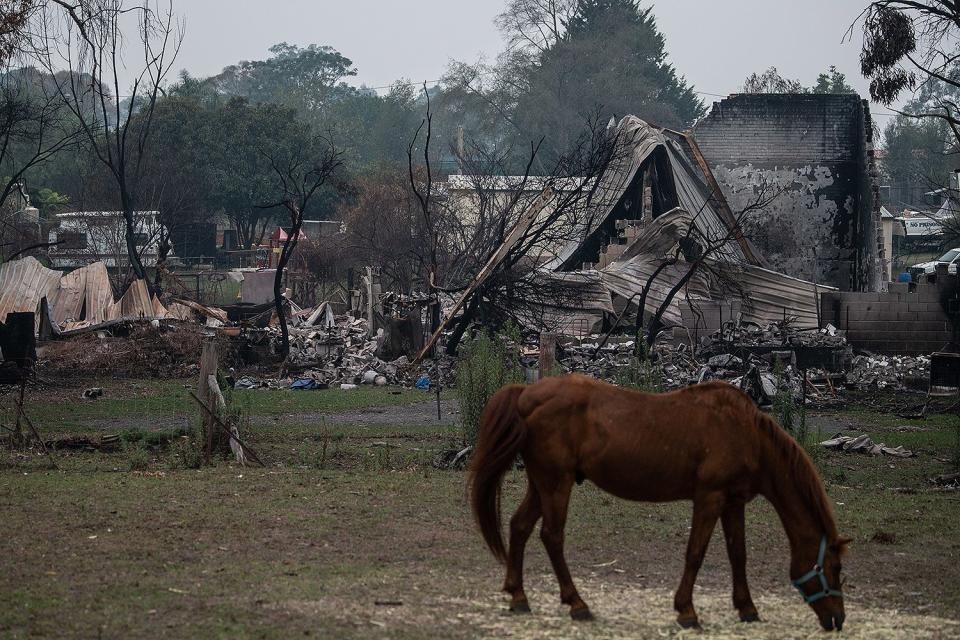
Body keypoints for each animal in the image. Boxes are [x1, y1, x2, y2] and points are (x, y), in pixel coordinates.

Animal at [468, 376, 852, 632]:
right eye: (834, 568)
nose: (838, 619)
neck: (745, 433)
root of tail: (527, 394)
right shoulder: (709, 498)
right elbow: (695, 554)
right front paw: (687, 612)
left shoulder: (733, 503)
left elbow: (737, 554)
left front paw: (747, 608)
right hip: (556, 484)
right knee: (552, 536)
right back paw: (577, 604)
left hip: (541, 485)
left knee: (519, 526)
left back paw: (519, 598)